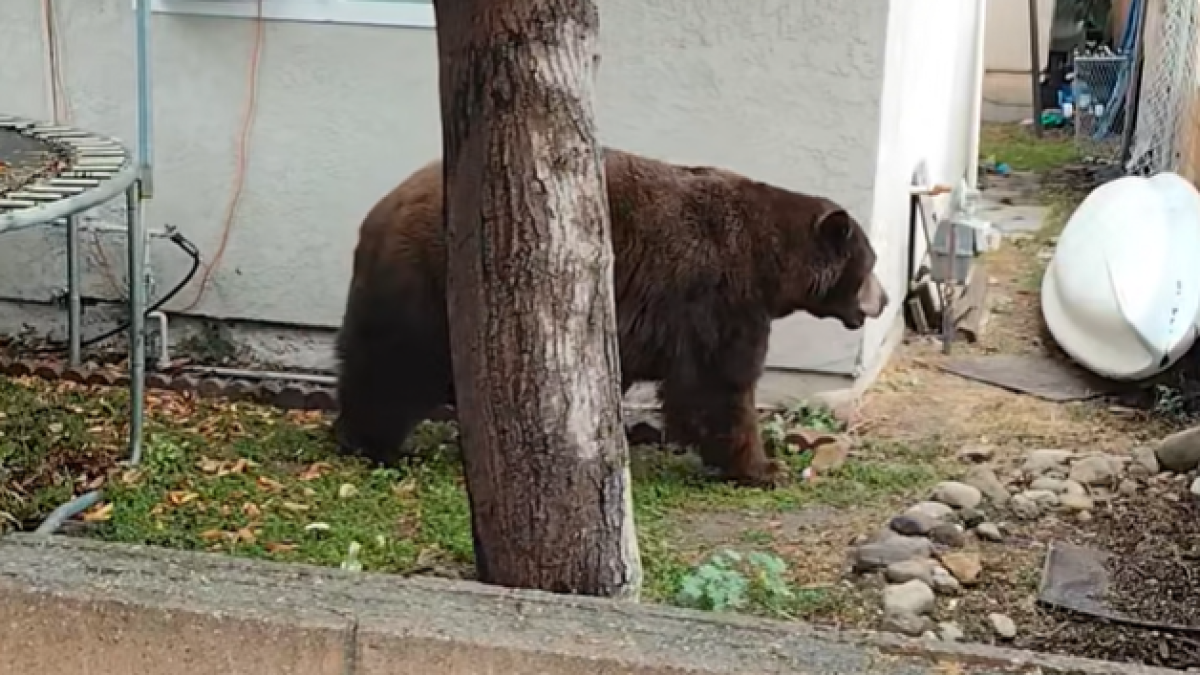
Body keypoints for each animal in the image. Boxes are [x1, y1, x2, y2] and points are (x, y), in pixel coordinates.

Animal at [332, 148, 887, 488]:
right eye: (872, 262)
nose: (883, 301)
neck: (770, 262)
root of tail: (378, 214)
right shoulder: (719, 295)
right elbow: (719, 385)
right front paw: (761, 465)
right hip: (433, 282)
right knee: (397, 366)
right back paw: (376, 444)